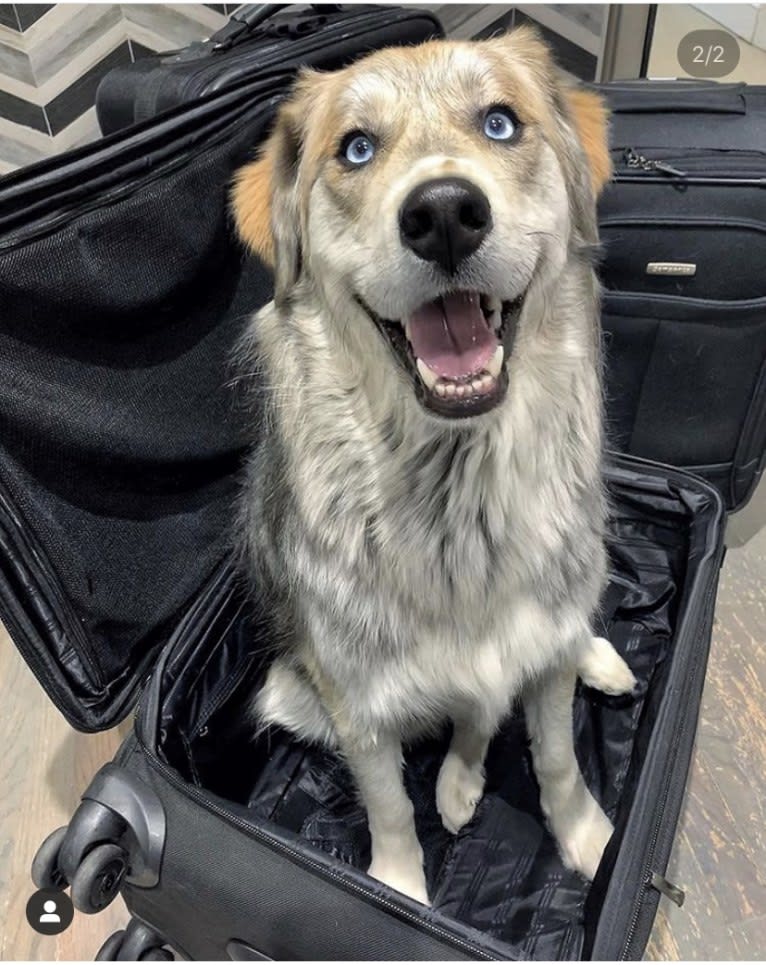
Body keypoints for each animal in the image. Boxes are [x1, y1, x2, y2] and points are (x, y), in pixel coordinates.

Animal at [232, 28, 636, 904]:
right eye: (355, 148)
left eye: (500, 123)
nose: (445, 213)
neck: (460, 492)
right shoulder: (358, 703)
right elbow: (389, 808)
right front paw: (398, 892)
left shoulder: (541, 663)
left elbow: (557, 756)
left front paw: (588, 836)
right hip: (289, 691)